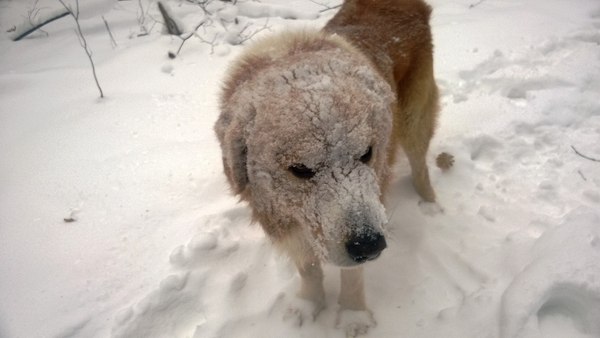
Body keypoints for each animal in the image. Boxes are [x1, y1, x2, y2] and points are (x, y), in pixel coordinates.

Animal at [214, 0, 440, 334]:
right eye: (300, 169)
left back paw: (431, 206)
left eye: (366, 153)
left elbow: (352, 276)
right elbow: (308, 269)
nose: (369, 245)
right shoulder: (289, 223)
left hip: (413, 121)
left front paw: (352, 314)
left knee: (420, 167)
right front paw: (309, 304)